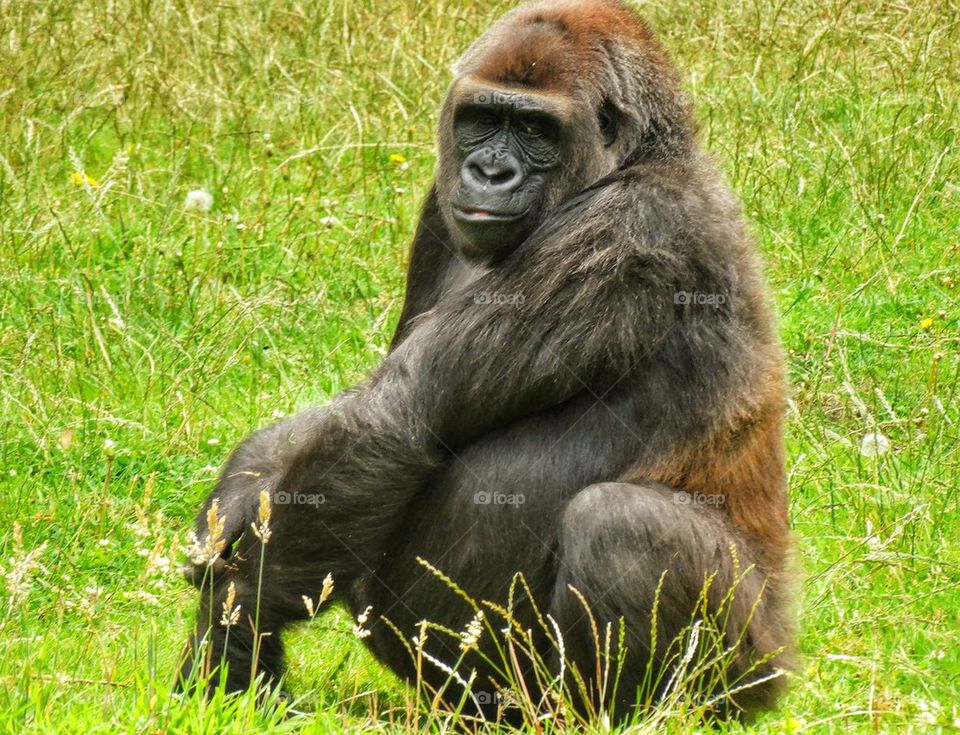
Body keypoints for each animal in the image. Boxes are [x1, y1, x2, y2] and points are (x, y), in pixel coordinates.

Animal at [177, 0, 794, 724]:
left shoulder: (627, 230)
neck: (642, 155)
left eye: (534, 129)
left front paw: (232, 634)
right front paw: (244, 479)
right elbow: (372, 402)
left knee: (621, 527)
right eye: (481, 119)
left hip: (745, 672)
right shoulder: (438, 212)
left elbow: (400, 415)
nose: (490, 174)